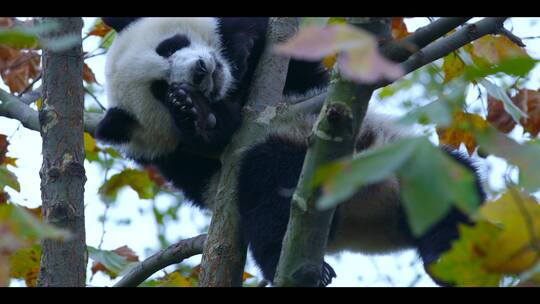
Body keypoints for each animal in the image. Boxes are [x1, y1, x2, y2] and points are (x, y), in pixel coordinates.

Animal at [95, 17, 488, 286]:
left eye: (169, 45)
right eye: (159, 89)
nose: (201, 71)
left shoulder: (297, 79)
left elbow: (289, 58)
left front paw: (238, 45)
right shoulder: (169, 156)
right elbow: (215, 147)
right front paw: (198, 115)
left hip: (398, 158)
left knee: (453, 184)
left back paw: (448, 258)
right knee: (269, 187)